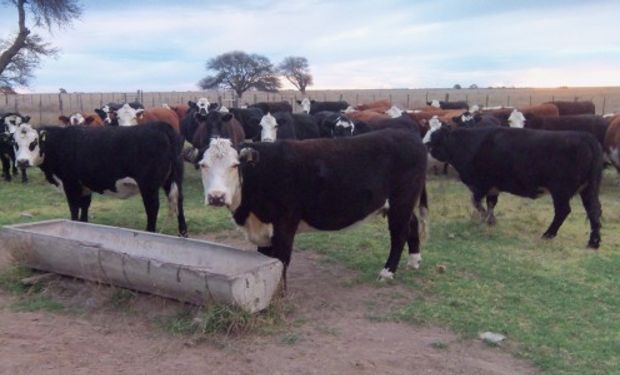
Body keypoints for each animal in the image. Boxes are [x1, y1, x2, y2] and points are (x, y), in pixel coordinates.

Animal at [12, 122, 186, 235]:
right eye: (15, 143)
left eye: (34, 143)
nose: (22, 162)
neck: (60, 142)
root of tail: (160, 126)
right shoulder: (84, 186)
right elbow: (84, 208)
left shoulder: (71, 183)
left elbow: (74, 208)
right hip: (173, 179)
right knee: (179, 202)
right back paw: (183, 232)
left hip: (148, 186)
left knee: (152, 208)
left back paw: (149, 232)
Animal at [201, 129, 428, 284]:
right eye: (203, 165)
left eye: (235, 165)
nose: (216, 197)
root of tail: (410, 135)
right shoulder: (263, 230)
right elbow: (266, 261)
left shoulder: (285, 224)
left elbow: (281, 260)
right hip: (402, 204)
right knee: (412, 224)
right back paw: (414, 261)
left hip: (402, 201)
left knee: (399, 234)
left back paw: (387, 272)